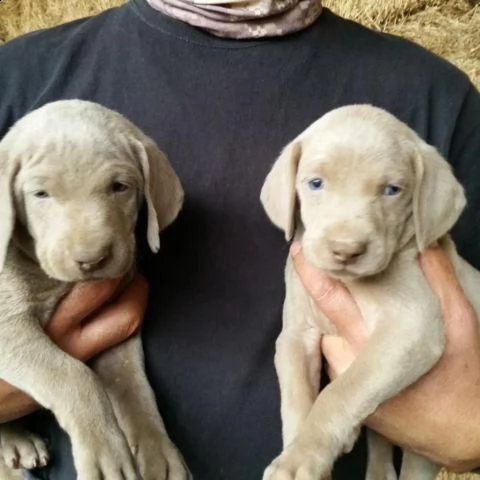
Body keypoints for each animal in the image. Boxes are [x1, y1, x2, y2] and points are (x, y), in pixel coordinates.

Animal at [0, 100, 191, 480]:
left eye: (120, 187)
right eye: (40, 194)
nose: (91, 260)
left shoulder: (114, 329)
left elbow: (133, 385)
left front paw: (159, 452)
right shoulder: (6, 326)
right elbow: (74, 375)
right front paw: (106, 454)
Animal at [260, 105, 480, 480]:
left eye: (392, 190)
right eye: (315, 183)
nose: (346, 250)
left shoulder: (411, 329)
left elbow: (340, 391)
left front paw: (301, 457)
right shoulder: (295, 336)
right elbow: (296, 398)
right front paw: (295, 452)